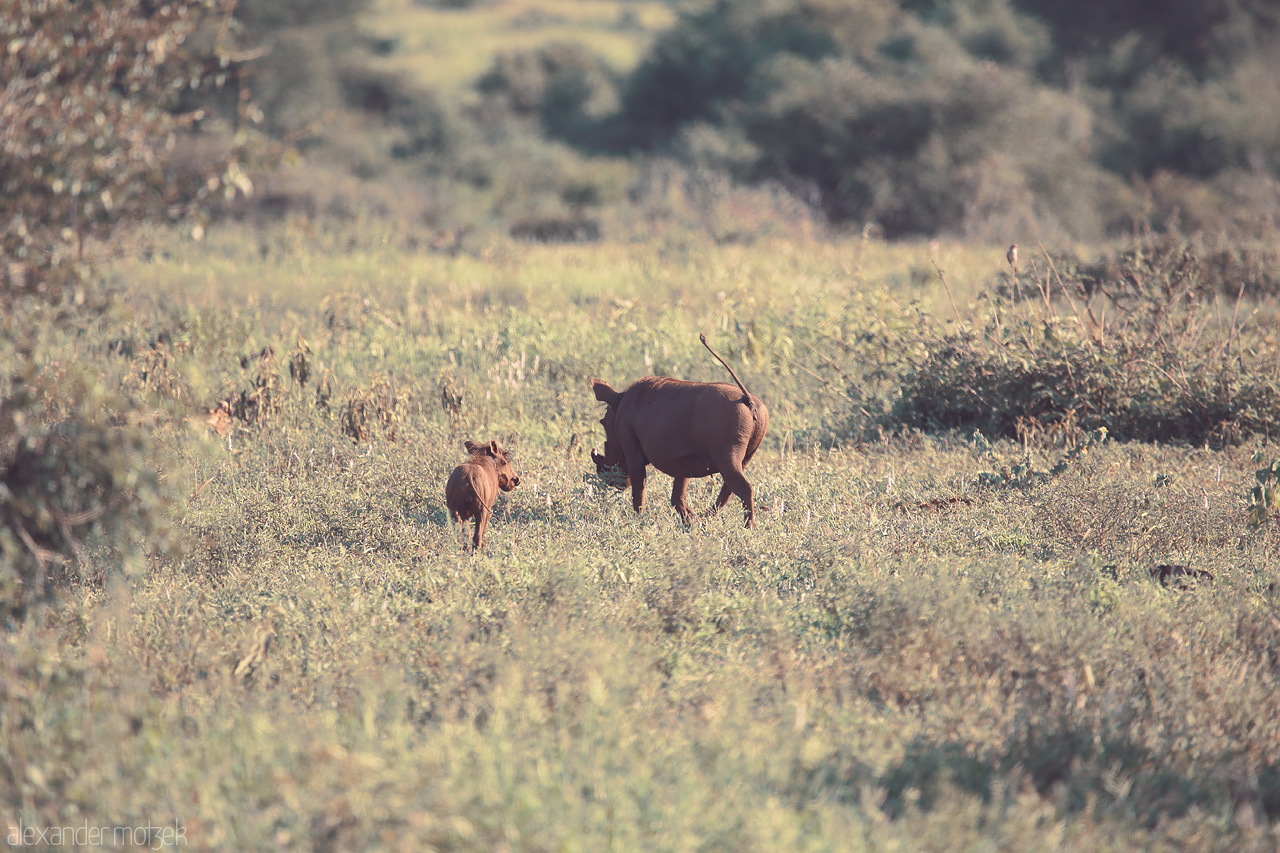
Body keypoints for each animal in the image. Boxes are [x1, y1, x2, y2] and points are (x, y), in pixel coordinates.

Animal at [590, 334, 769, 527]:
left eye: (603, 422)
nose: (609, 481)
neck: (621, 406)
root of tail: (747, 399)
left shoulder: (632, 452)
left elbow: (639, 491)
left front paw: (639, 521)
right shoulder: (683, 466)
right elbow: (678, 498)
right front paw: (689, 520)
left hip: (727, 458)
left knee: (743, 489)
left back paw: (748, 527)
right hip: (746, 457)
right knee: (727, 490)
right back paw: (705, 517)